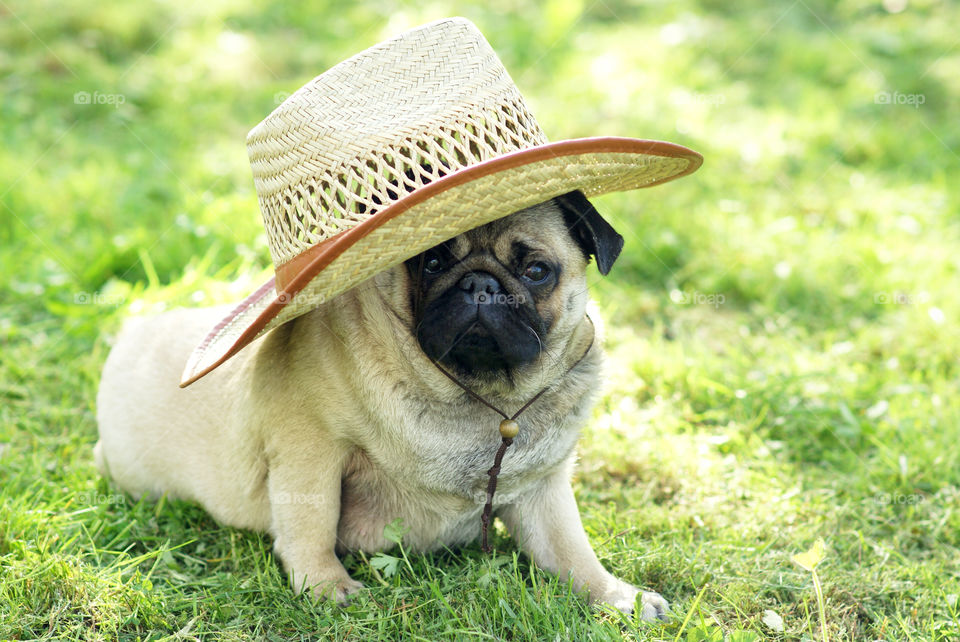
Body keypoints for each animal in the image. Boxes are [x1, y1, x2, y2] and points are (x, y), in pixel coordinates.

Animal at [95, 191, 668, 620]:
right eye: (432, 262)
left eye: (537, 271)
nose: (479, 282)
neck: (479, 398)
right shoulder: (310, 451)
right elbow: (312, 523)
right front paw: (326, 584)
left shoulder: (542, 488)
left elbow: (572, 550)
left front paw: (618, 596)